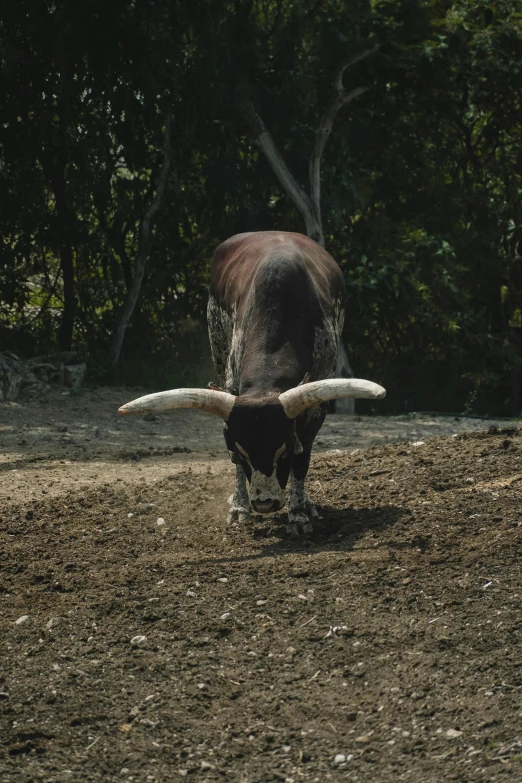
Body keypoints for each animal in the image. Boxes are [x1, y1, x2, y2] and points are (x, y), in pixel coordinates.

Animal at [120, 233, 384, 536]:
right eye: (242, 452)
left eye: (283, 449)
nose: (265, 504)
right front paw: (239, 508)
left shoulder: (316, 406)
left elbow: (302, 458)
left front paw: (298, 514)